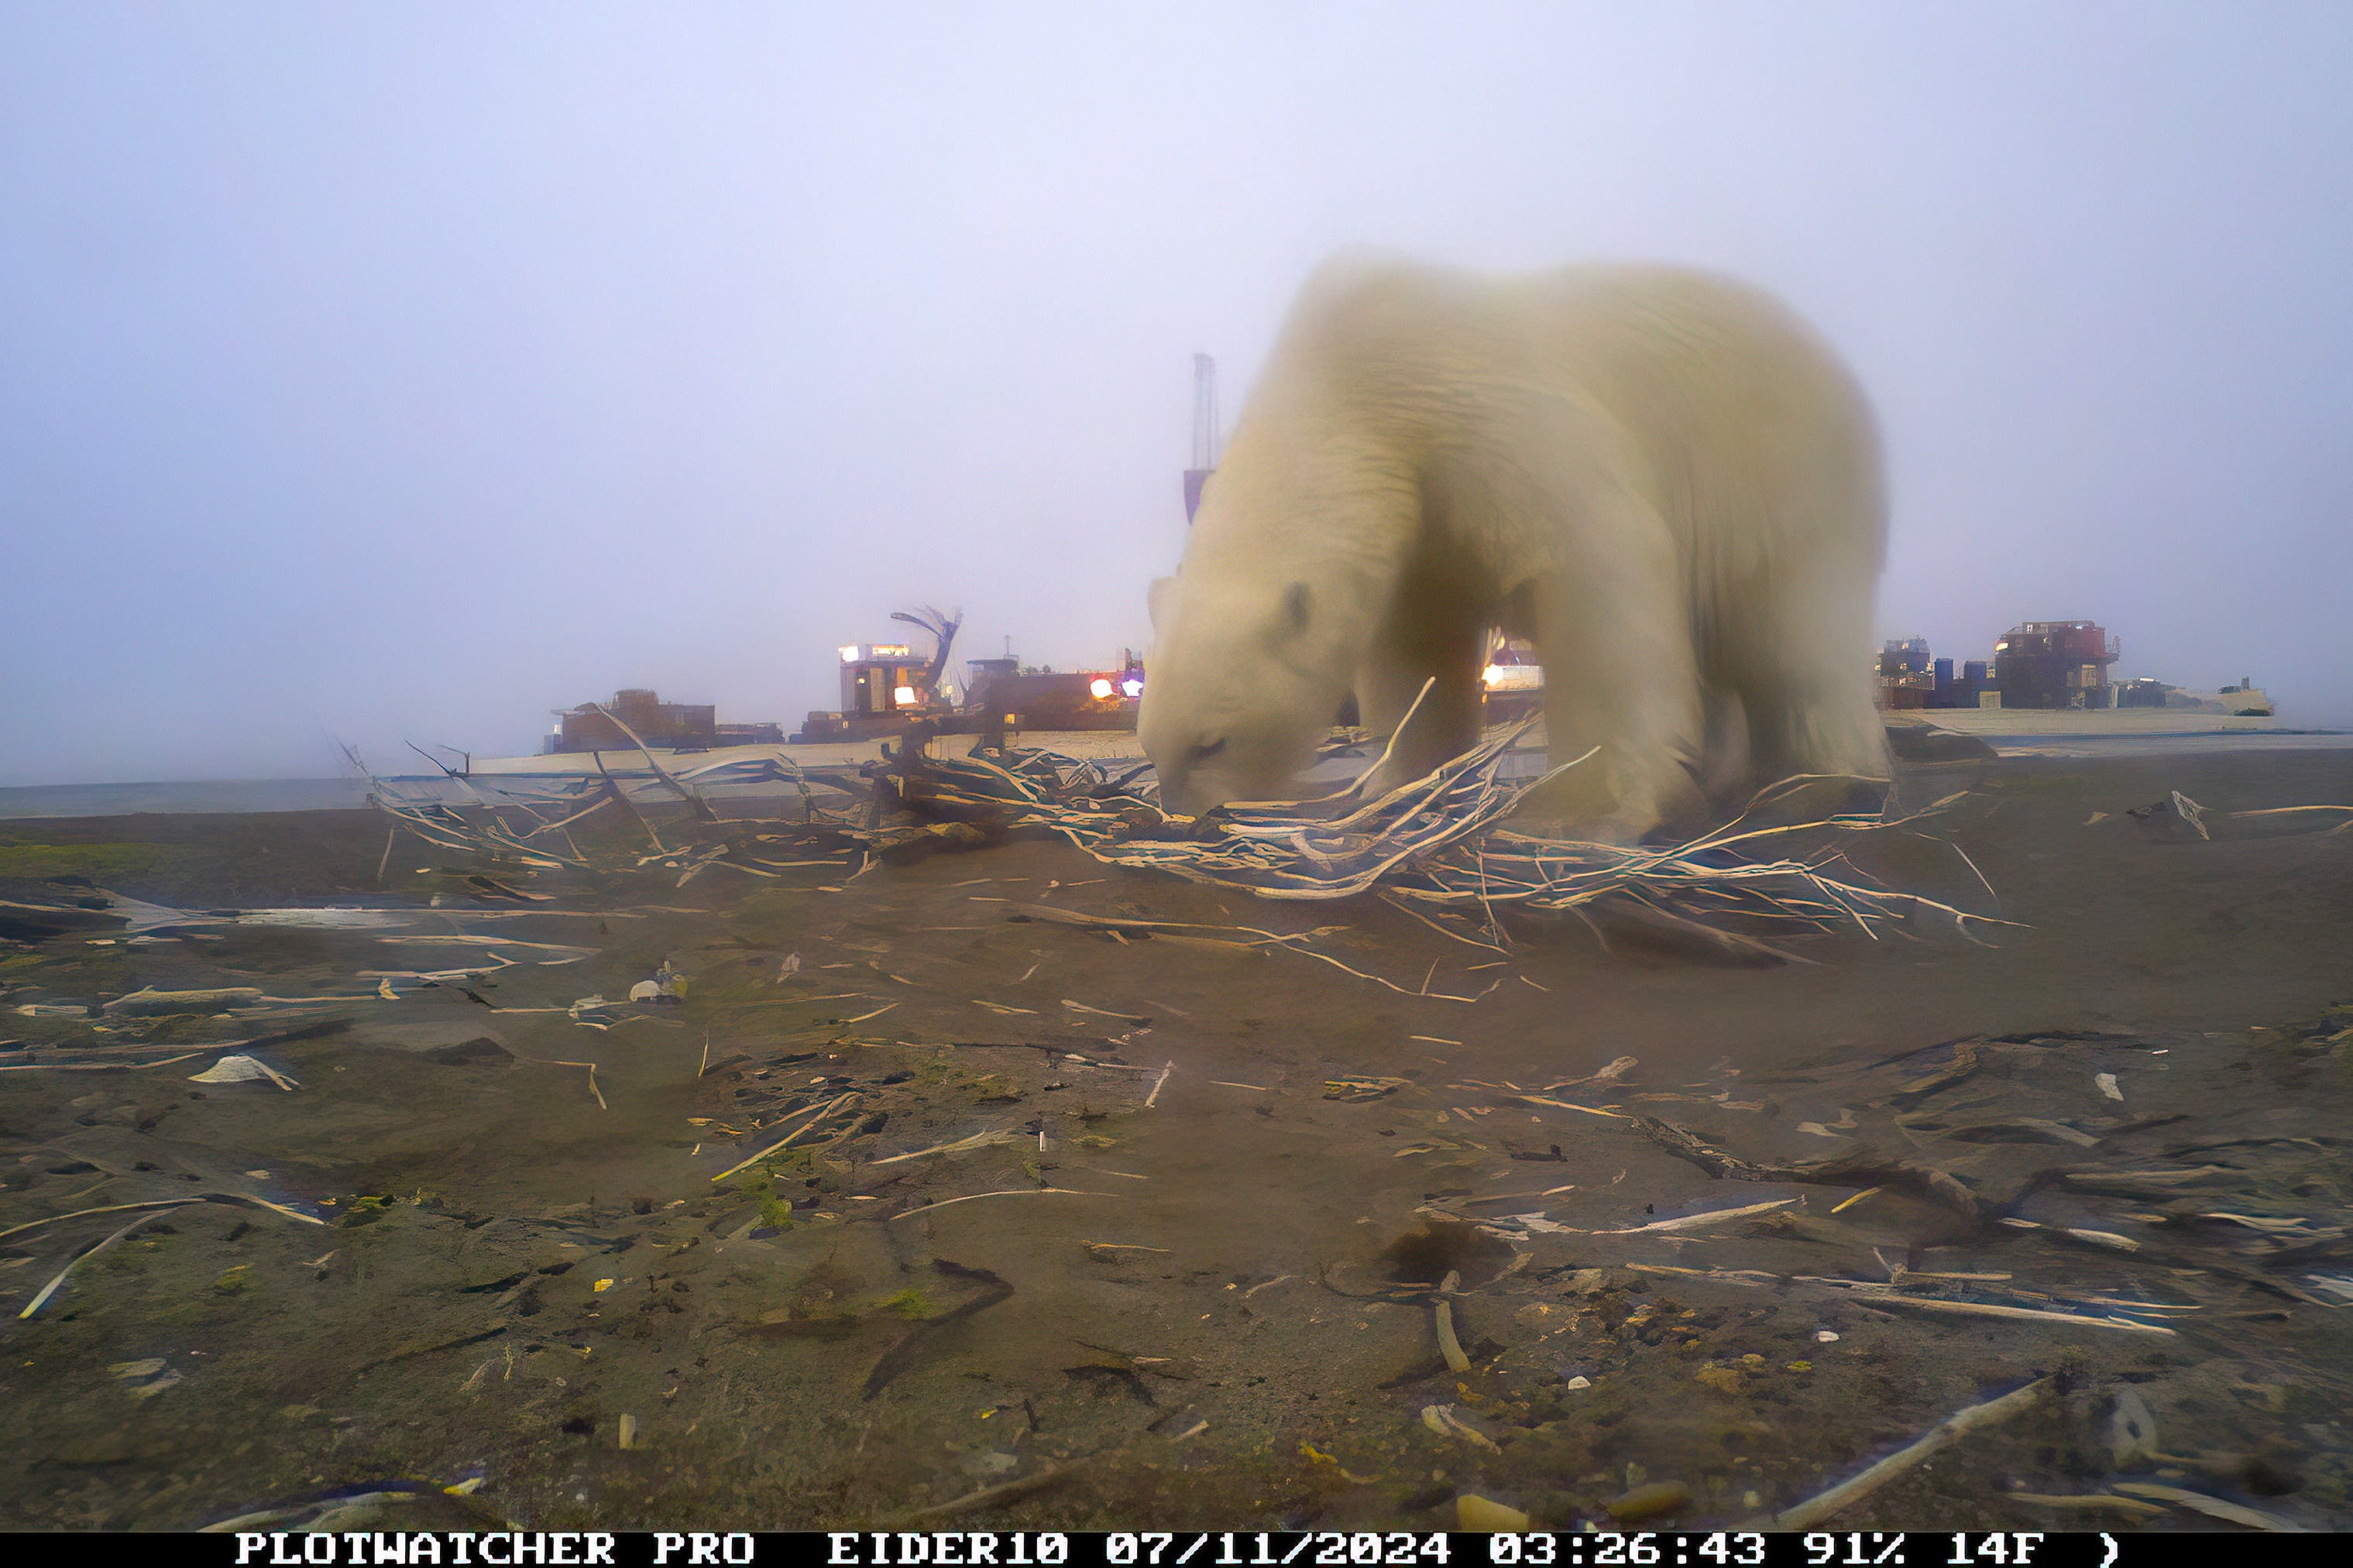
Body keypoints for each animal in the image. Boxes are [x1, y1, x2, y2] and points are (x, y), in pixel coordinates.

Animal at [1138, 255, 1891, 841]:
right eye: (1150, 746)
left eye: (1212, 743)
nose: (1180, 817)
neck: (1357, 386)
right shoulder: (1421, 521)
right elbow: (1417, 652)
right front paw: (1396, 784)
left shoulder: (1482, 414)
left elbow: (1597, 565)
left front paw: (1582, 811)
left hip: (1787, 478)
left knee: (1795, 634)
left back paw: (1814, 784)